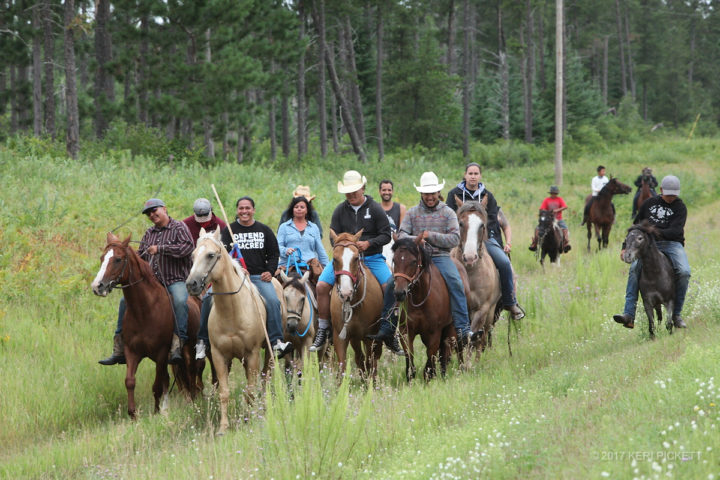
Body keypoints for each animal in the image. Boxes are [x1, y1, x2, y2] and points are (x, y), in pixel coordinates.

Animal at [90, 233, 202, 420]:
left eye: (118, 259)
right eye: (102, 258)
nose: (97, 286)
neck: (145, 310)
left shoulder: (162, 353)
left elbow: (156, 385)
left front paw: (156, 412)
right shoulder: (132, 351)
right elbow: (130, 381)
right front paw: (133, 414)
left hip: (189, 348)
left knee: (192, 372)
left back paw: (193, 400)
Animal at [184, 228, 280, 436]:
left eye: (211, 255)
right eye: (193, 256)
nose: (191, 284)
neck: (232, 311)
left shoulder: (252, 354)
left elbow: (250, 389)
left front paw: (250, 418)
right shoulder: (219, 356)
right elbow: (224, 392)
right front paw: (223, 427)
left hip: (268, 352)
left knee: (265, 378)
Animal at [330, 230, 386, 378]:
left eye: (356, 258)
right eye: (335, 259)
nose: (346, 293)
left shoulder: (370, 338)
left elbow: (370, 362)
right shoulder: (341, 336)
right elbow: (343, 365)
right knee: (359, 358)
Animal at [390, 234, 452, 380]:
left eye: (413, 261)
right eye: (394, 260)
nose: (399, 293)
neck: (420, 300)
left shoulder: (434, 333)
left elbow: (430, 362)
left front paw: (430, 378)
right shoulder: (405, 331)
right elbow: (410, 358)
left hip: (450, 328)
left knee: (445, 352)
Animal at [452, 199, 504, 352]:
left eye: (482, 225)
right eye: (460, 223)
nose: (470, 257)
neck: (470, 273)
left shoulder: (481, 310)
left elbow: (473, 339)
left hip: (490, 315)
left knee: (483, 338)